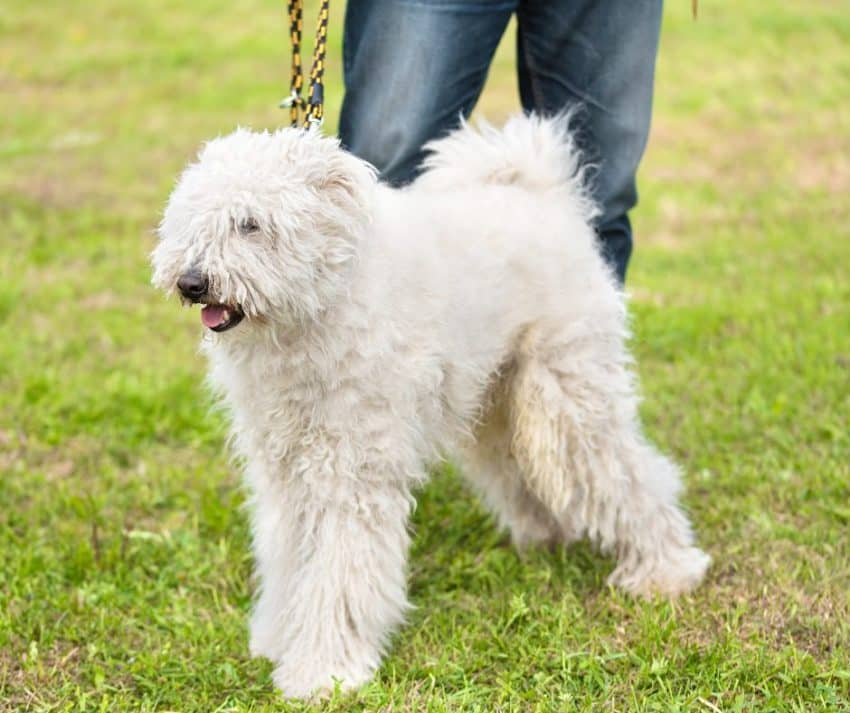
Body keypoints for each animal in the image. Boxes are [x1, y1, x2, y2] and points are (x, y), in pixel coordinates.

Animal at [151, 114, 708, 700]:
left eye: (250, 225)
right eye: (191, 221)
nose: (191, 281)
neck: (322, 306)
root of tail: (542, 193)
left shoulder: (351, 474)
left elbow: (337, 573)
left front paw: (324, 671)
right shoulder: (284, 474)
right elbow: (288, 560)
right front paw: (277, 636)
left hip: (567, 400)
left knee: (631, 475)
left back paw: (667, 569)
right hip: (496, 406)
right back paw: (548, 538)